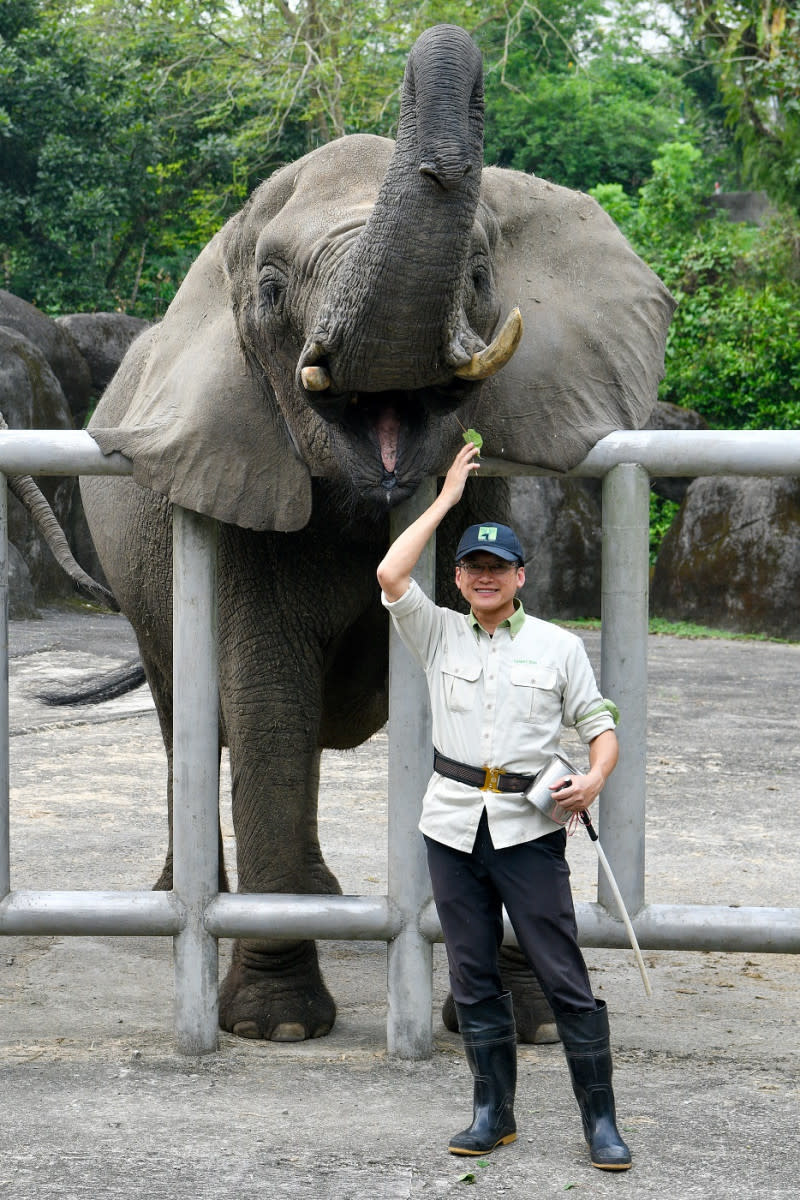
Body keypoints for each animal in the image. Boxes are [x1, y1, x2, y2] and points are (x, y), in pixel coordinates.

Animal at [79, 23, 676, 1046]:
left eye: (479, 276)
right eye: (270, 289)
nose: (444, 51)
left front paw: (529, 1022)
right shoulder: (243, 506)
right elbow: (270, 711)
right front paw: (280, 1029)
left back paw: (324, 895)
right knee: (182, 716)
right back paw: (182, 898)